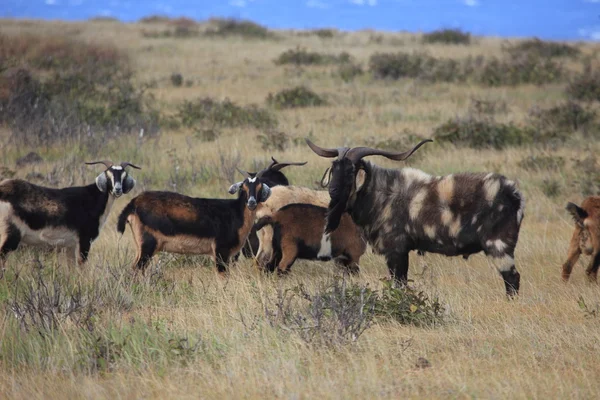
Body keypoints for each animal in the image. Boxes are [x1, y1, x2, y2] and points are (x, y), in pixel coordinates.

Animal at [0, 159, 141, 268]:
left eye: (123, 175)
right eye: (108, 175)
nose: (118, 189)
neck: (92, 198)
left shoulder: (70, 246)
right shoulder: (84, 241)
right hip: (11, 236)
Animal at [117, 167, 272, 274]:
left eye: (259, 186)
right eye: (244, 186)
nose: (251, 202)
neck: (235, 213)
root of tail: (134, 203)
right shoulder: (221, 253)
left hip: (141, 248)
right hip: (148, 247)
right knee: (137, 269)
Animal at [308, 138, 528, 296]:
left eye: (351, 170)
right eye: (334, 167)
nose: (332, 191)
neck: (381, 195)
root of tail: (514, 194)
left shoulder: (396, 251)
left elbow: (399, 284)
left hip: (499, 246)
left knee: (513, 279)